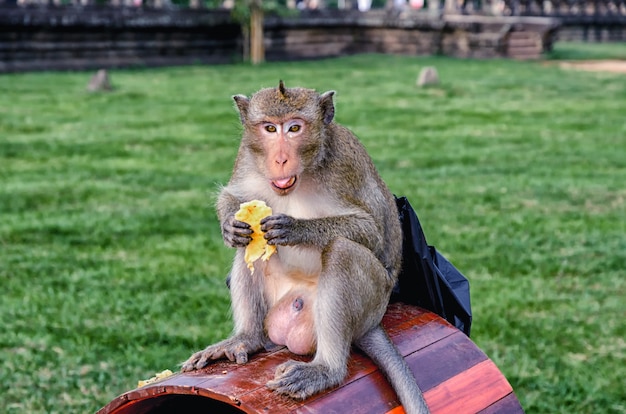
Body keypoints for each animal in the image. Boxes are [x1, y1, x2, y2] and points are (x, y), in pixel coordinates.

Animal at [182, 81, 428, 414]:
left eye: (295, 128)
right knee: (250, 250)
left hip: (374, 298)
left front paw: (295, 229)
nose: (280, 159)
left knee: (342, 251)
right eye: (270, 128)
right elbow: (234, 197)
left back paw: (326, 369)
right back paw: (246, 338)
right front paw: (231, 226)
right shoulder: (246, 156)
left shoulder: (344, 166)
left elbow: (372, 231)